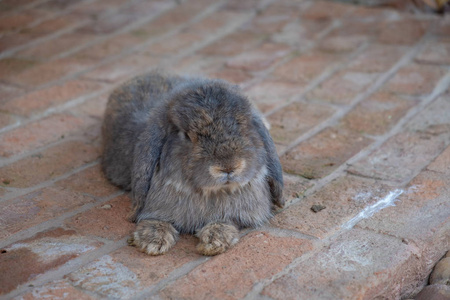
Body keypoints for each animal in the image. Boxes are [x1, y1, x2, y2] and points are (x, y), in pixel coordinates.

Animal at [102, 71, 284, 255]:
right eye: (186, 135)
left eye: (245, 127)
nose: (228, 167)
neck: (210, 192)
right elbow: (156, 221)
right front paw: (152, 242)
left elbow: (226, 222)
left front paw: (213, 241)